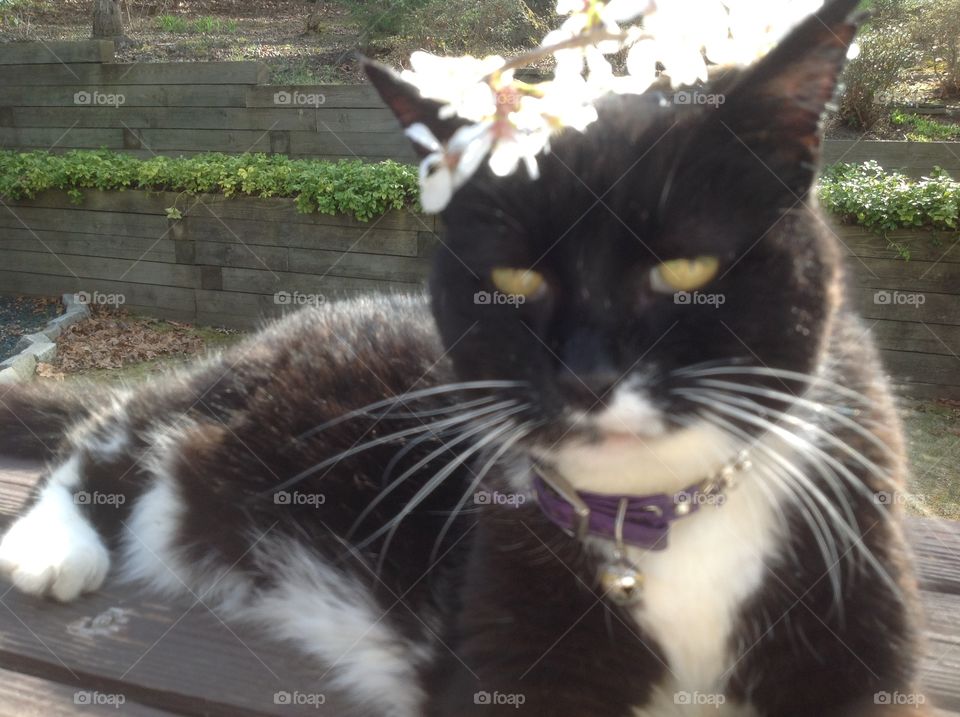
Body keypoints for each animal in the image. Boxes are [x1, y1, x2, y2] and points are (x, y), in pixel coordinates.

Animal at [0, 1, 928, 716]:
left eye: (688, 269)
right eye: (514, 278)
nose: (588, 376)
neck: (664, 518)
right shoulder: (503, 636)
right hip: (233, 397)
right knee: (121, 418)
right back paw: (53, 546)